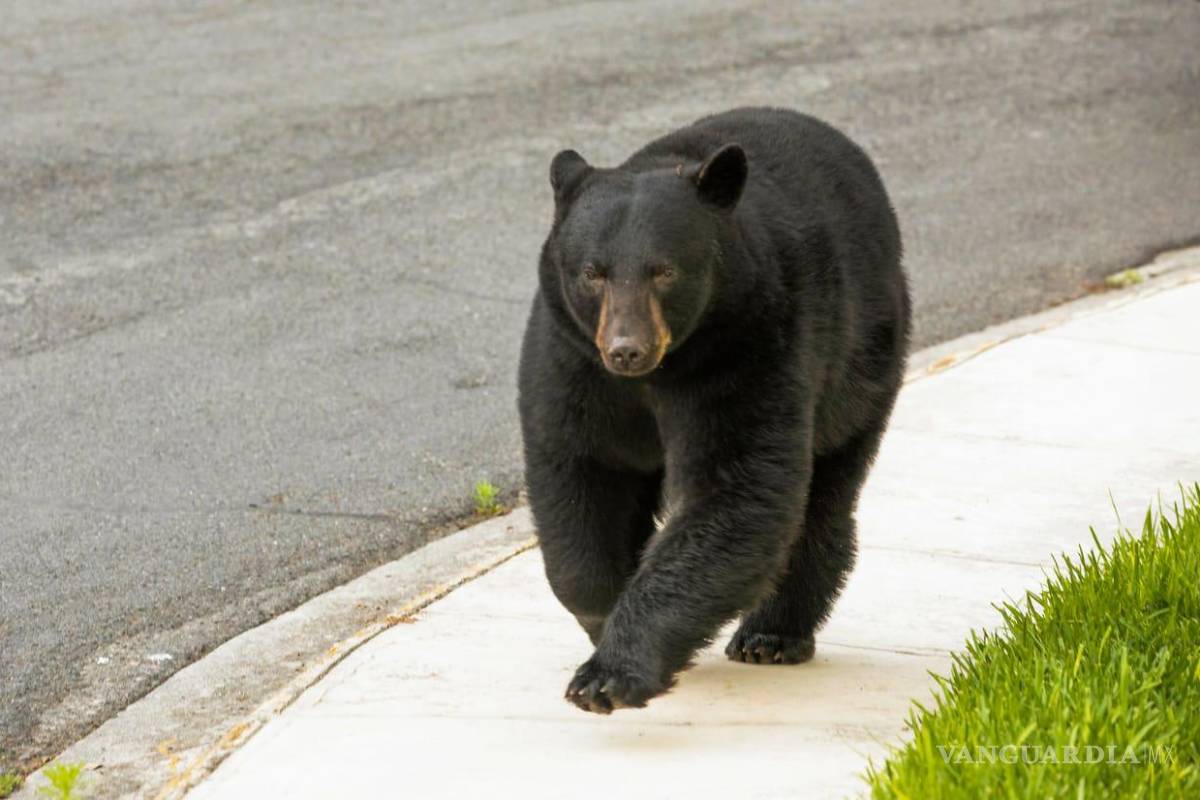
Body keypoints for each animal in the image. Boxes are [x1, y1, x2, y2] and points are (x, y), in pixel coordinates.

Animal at [517, 107, 910, 714]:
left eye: (664, 270)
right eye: (593, 271)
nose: (627, 348)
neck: (658, 374)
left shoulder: (749, 345)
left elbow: (736, 490)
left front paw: (610, 674)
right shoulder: (573, 360)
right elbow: (582, 474)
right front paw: (603, 617)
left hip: (863, 361)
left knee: (824, 492)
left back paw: (772, 634)